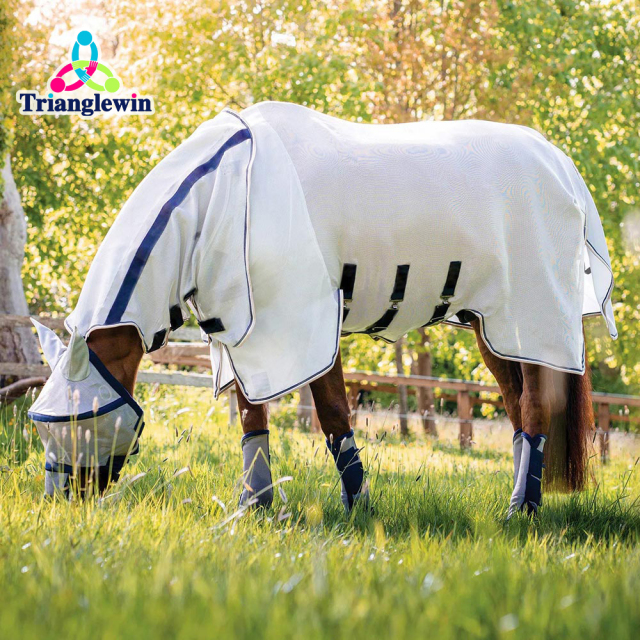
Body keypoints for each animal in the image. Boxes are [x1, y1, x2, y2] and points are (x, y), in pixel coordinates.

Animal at [28, 101, 616, 516]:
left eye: (80, 419)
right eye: (39, 424)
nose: (60, 502)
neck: (223, 192)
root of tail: (559, 163)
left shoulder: (302, 322)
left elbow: (332, 414)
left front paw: (359, 511)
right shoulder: (241, 334)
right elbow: (252, 418)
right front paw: (255, 508)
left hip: (531, 319)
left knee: (534, 407)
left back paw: (521, 512)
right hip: (490, 326)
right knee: (517, 408)